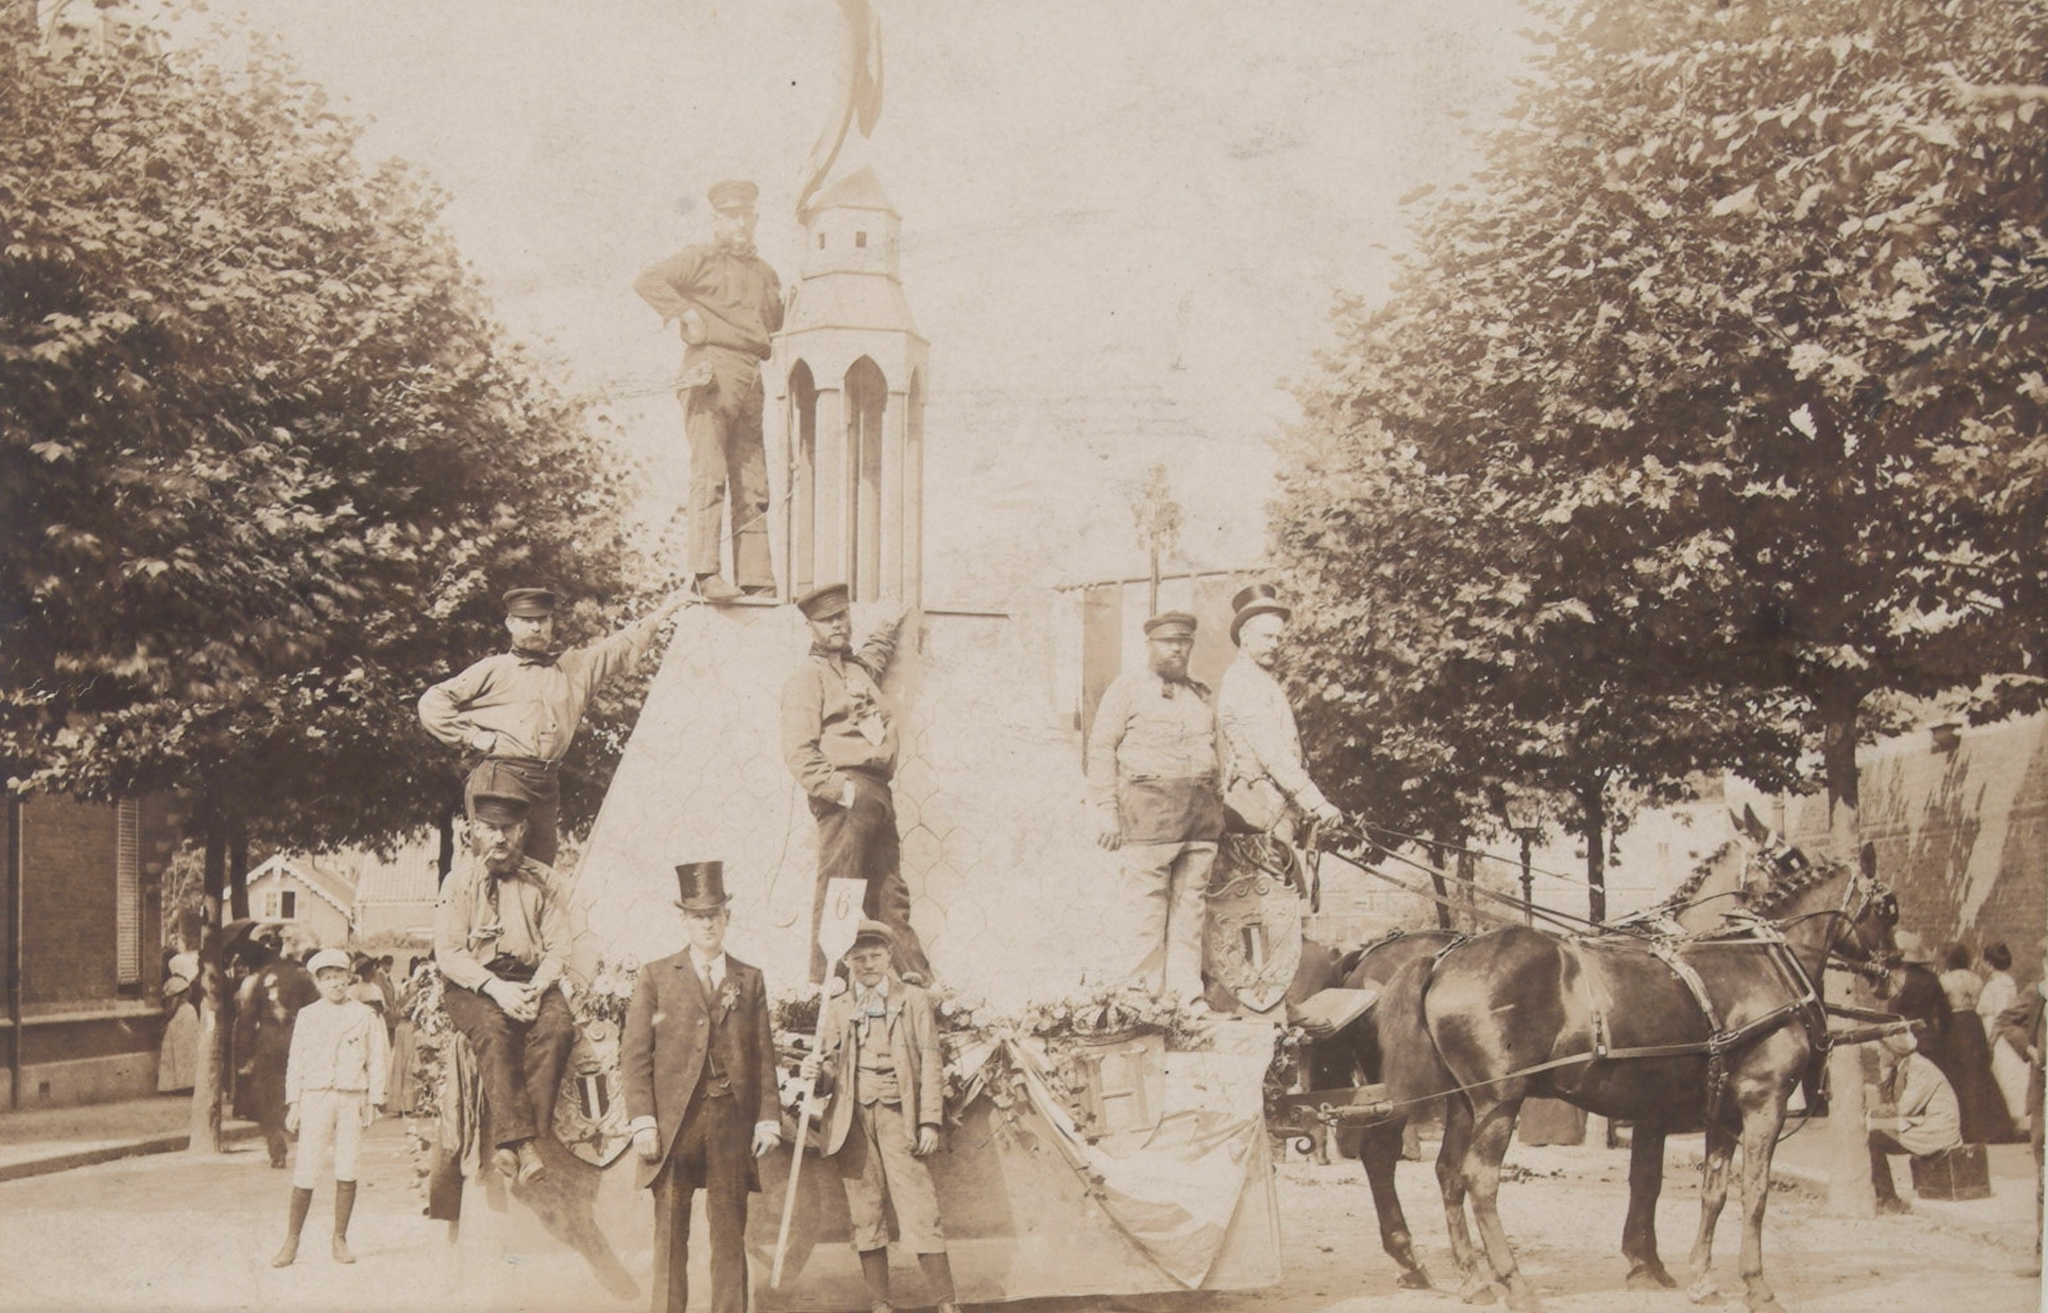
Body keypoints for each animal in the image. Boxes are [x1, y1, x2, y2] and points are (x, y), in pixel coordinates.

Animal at [1376, 833, 1898, 1313]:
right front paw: (1755, 1285)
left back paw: (1474, 1279)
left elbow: (1710, 1191)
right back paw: (1514, 1283)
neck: (1759, 962)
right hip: (1500, 1101)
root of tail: (1443, 961)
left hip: (1466, 1102)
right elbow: (1752, 1192)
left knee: (1448, 1173)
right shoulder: (1761, 1102)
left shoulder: (1720, 1111)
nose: (1892, 971)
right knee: (1479, 1179)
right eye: (1888, 908)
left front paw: (1700, 1278)